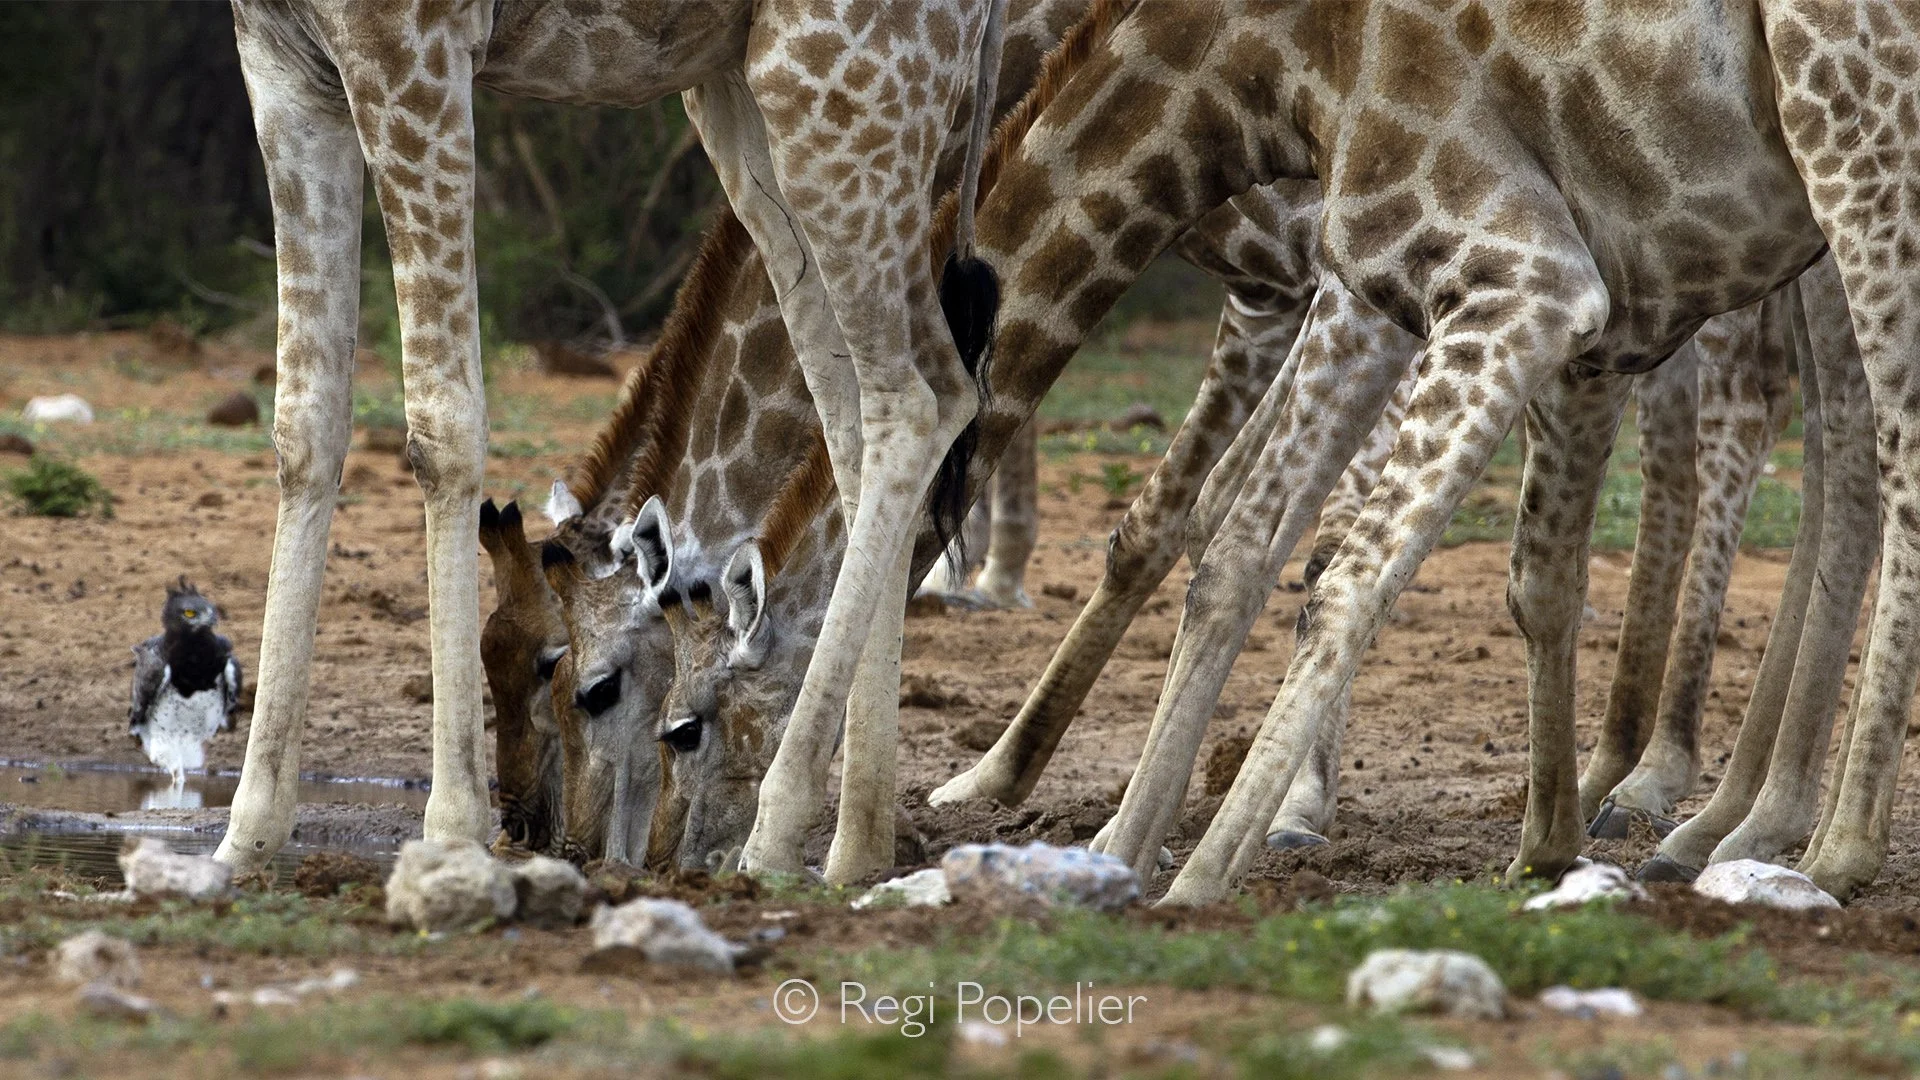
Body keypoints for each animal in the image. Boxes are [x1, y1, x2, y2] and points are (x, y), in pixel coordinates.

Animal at [220, 0, 1010, 874]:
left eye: (576, 681)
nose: (540, 832)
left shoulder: (411, 47)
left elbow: (441, 425)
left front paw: (451, 831)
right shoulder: (281, 62)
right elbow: (305, 427)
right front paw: (246, 837)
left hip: (839, 88)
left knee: (922, 397)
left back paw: (778, 835)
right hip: (745, 96)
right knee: (857, 410)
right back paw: (853, 850)